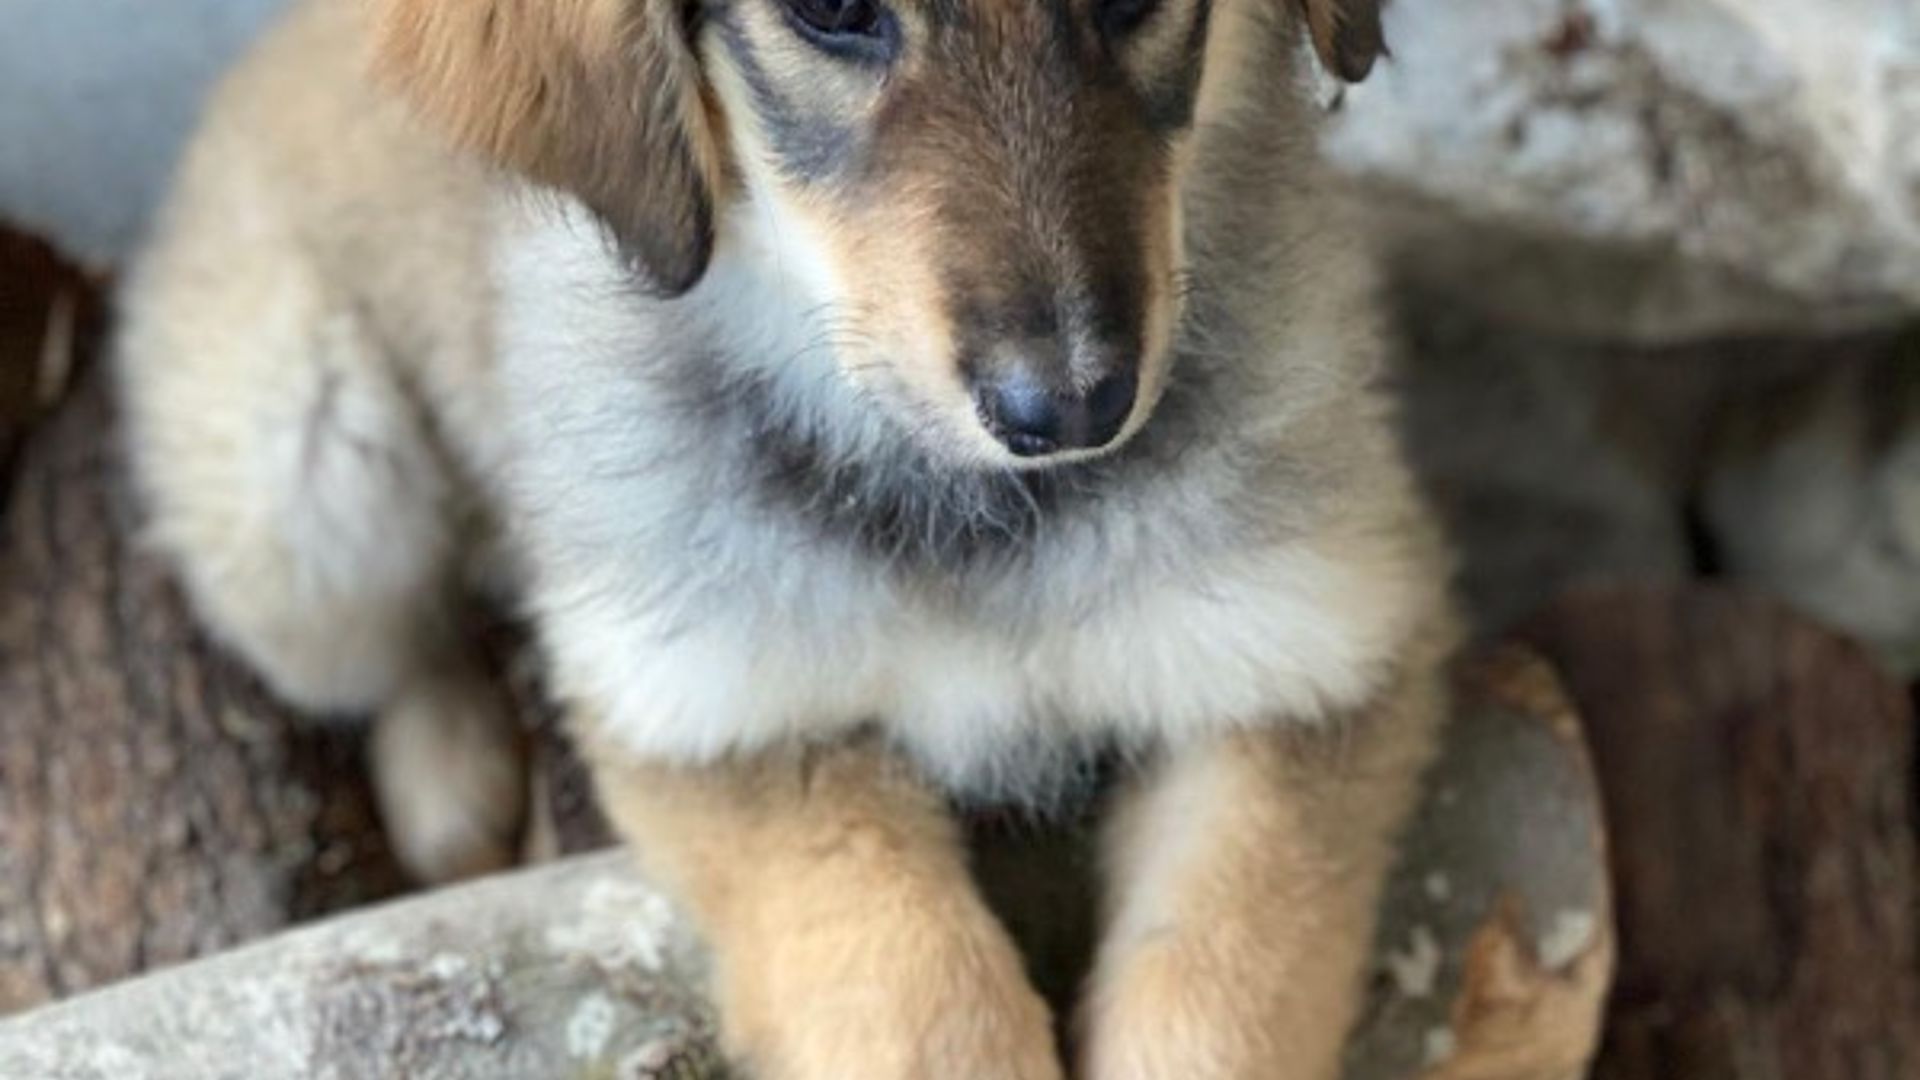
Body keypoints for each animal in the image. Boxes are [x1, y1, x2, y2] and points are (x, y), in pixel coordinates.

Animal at [116, 0, 1456, 1075]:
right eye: (836, 10)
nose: (1072, 408)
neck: (962, 511)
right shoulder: (720, 717)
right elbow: (919, 994)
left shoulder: (1301, 665)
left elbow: (1221, 991)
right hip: (298, 486)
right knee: (402, 644)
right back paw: (451, 784)